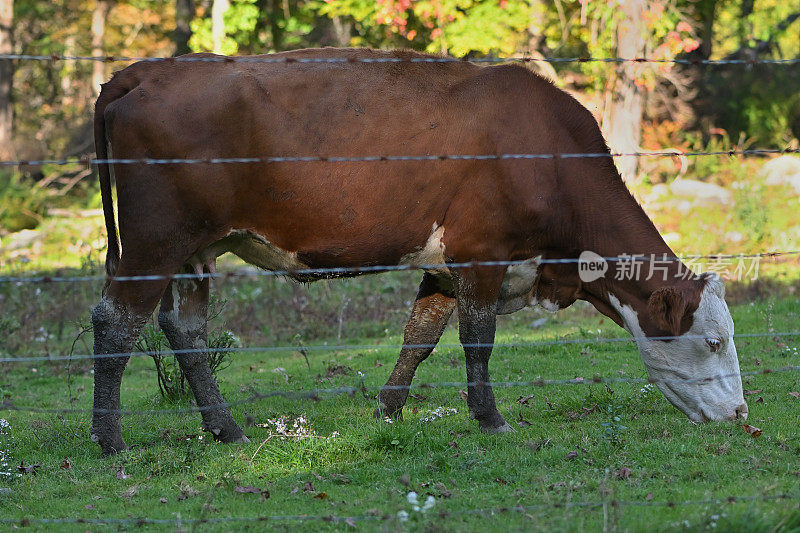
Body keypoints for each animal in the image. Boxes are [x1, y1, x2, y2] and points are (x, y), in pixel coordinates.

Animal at [90, 48, 748, 454]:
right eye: (714, 340)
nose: (742, 415)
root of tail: (148, 71)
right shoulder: (483, 254)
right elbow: (476, 343)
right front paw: (490, 419)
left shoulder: (444, 265)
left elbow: (421, 338)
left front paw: (388, 410)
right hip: (154, 242)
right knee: (115, 321)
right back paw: (109, 439)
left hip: (194, 251)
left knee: (185, 328)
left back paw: (225, 428)